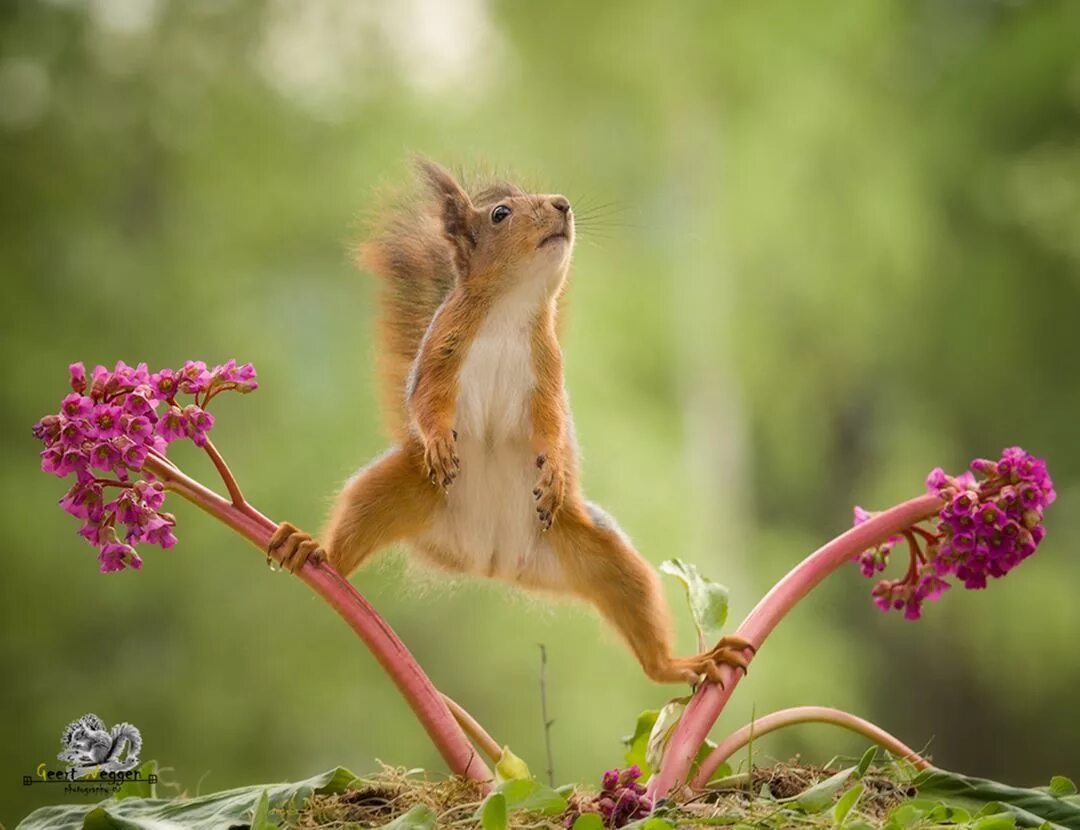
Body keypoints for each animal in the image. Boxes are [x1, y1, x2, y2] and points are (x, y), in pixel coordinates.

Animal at [270, 158, 751, 682]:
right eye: (501, 213)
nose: (563, 204)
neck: (510, 308)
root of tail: (489, 561)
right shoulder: (438, 355)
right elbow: (425, 403)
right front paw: (438, 440)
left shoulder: (549, 375)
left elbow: (553, 424)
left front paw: (556, 467)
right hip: (397, 492)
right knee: (354, 529)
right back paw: (314, 551)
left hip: (600, 554)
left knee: (638, 614)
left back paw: (683, 664)